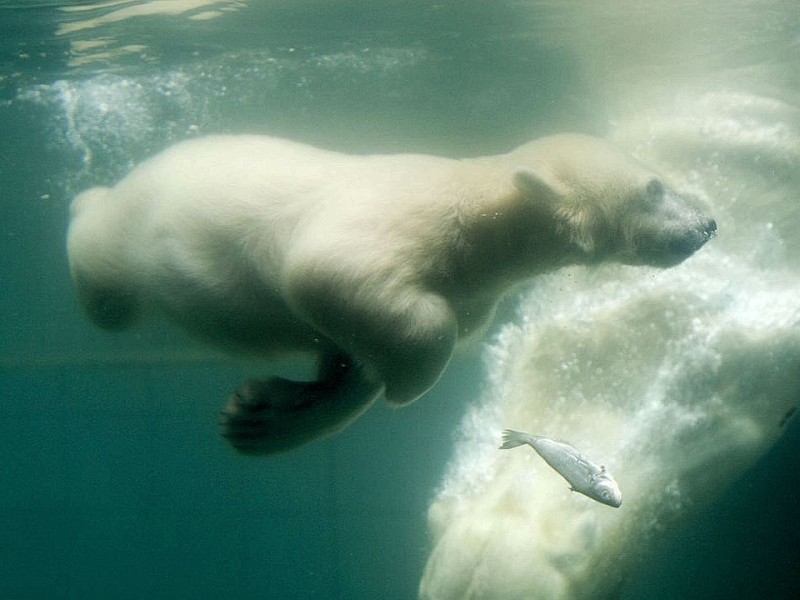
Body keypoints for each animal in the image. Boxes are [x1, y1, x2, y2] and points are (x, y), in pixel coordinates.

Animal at [65, 135, 716, 454]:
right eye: (654, 187)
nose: (708, 223)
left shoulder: (472, 292)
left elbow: (348, 356)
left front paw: (261, 415)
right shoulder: (391, 224)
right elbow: (329, 274)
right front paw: (406, 383)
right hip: (134, 226)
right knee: (104, 257)